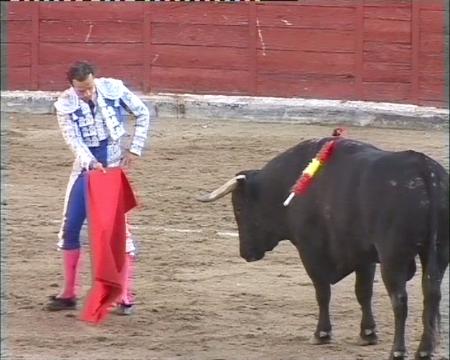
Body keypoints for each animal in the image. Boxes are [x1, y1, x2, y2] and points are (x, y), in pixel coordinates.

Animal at [199, 137, 448, 360]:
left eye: (239, 209)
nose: (246, 254)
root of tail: (424, 168)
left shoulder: (310, 250)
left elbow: (322, 292)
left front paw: (321, 334)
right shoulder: (363, 255)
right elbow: (363, 292)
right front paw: (368, 333)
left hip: (393, 256)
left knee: (400, 300)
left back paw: (398, 351)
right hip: (438, 253)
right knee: (432, 295)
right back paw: (425, 350)